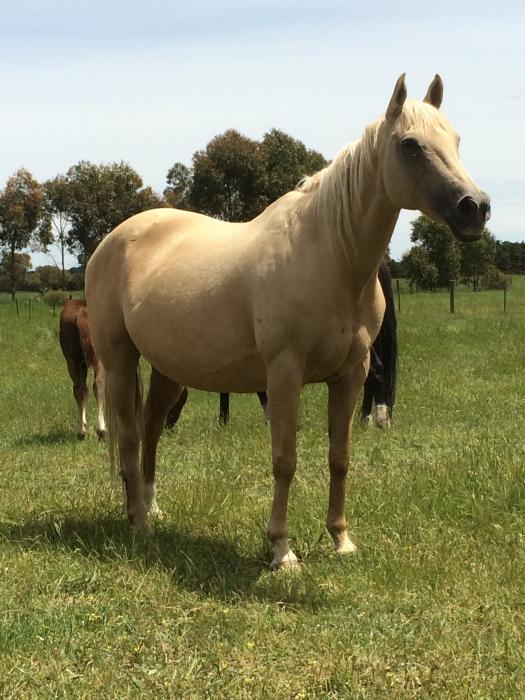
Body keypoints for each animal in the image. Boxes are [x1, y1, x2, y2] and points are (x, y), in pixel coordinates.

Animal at [59, 299, 106, 440]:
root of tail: (83, 311)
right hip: (98, 358)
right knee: (98, 385)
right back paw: (101, 430)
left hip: (72, 361)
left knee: (79, 389)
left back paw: (80, 431)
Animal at [85, 75, 490, 568]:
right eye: (410, 145)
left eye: (456, 140)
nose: (474, 207)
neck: (329, 253)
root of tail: (112, 240)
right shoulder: (283, 373)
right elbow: (285, 459)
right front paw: (282, 549)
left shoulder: (351, 374)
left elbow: (339, 456)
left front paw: (341, 539)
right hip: (119, 360)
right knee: (127, 436)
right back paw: (139, 523)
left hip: (168, 370)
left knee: (150, 432)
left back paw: (152, 509)